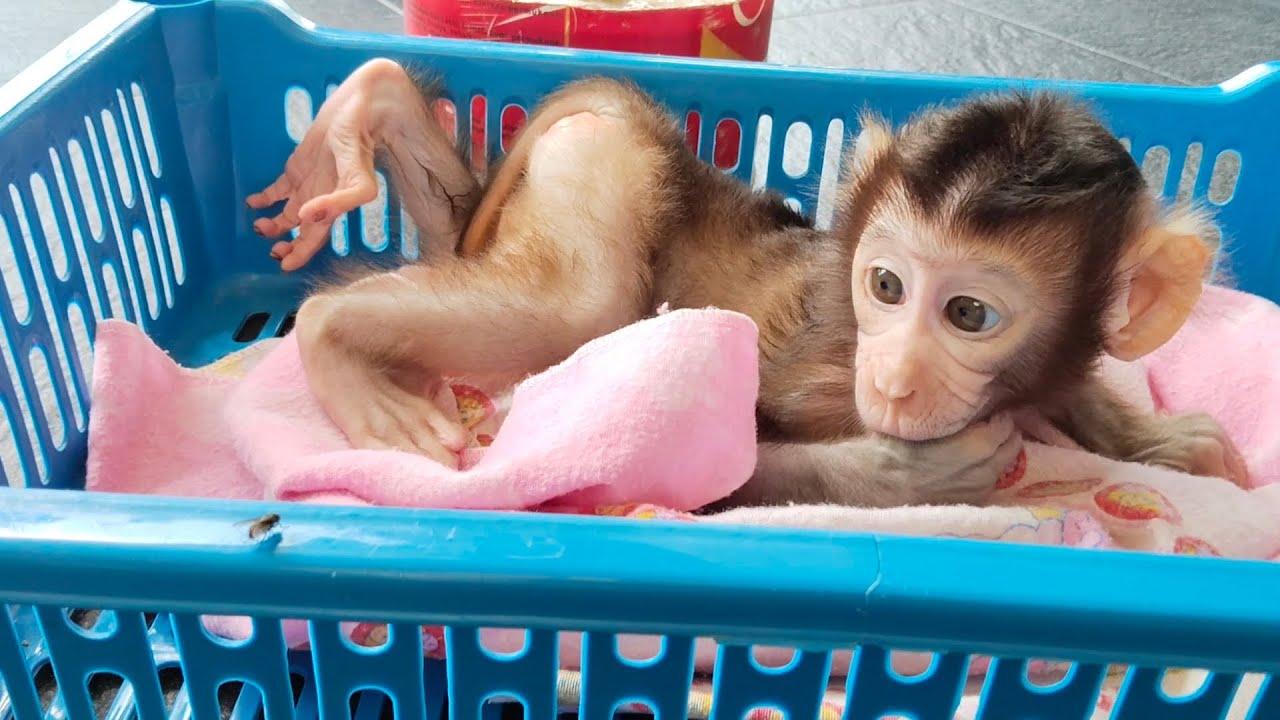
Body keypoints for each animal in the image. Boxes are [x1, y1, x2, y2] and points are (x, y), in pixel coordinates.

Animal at [246, 58, 1247, 510]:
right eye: (886, 287)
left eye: (968, 312)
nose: (893, 381)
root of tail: (661, 131)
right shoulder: (828, 367)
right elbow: (705, 474)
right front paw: (892, 477)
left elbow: (1075, 378)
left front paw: (1159, 440)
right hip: (600, 166)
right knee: (581, 309)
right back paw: (332, 334)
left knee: (460, 233)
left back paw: (380, 107)